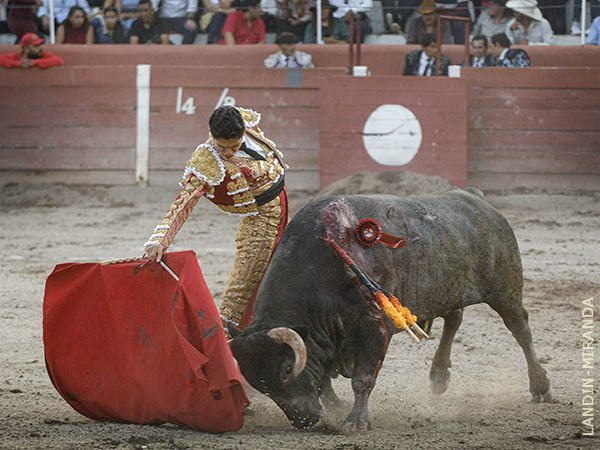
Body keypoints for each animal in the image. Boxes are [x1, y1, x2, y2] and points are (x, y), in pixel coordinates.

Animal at [229, 188, 552, 430]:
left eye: (286, 368)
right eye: (260, 384)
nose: (303, 419)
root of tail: (477, 198)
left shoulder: (372, 326)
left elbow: (362, 379)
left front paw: (355, 422)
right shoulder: (327, 338)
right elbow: (323, 377)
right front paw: (337, 408)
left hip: (505, 290)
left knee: (520, 329)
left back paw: (540, 386)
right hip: (447, 288)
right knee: (454, 318)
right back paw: (439, 377)